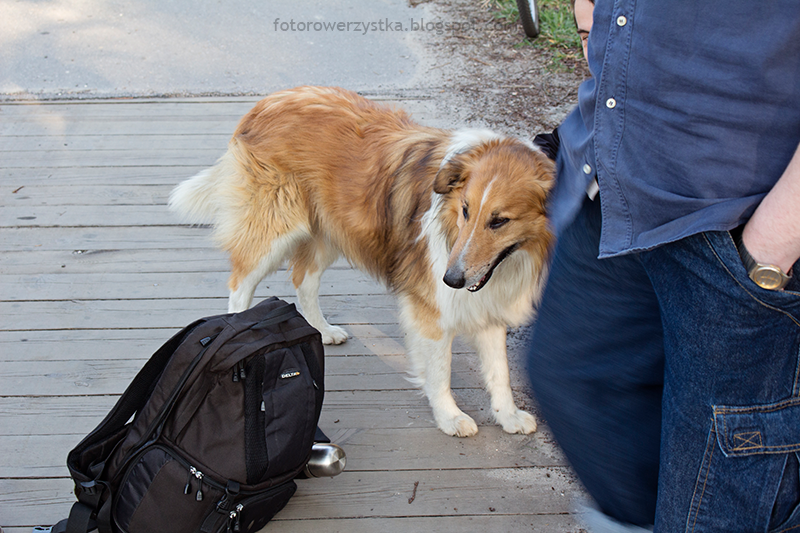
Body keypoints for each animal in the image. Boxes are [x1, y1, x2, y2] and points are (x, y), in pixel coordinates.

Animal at [170, 86, 552, 436]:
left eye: (499, 221)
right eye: (466, 211)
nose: (452, 279)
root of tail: (268, 101)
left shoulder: (487, 299)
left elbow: (499, 369)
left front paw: (507, 415)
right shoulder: (431, 307)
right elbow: (440, 369)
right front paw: (450, 417)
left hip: (327, 232)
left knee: (302, 279)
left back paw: (322, 331)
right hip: (273, 229)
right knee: (240, 285)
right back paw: (238, 332)